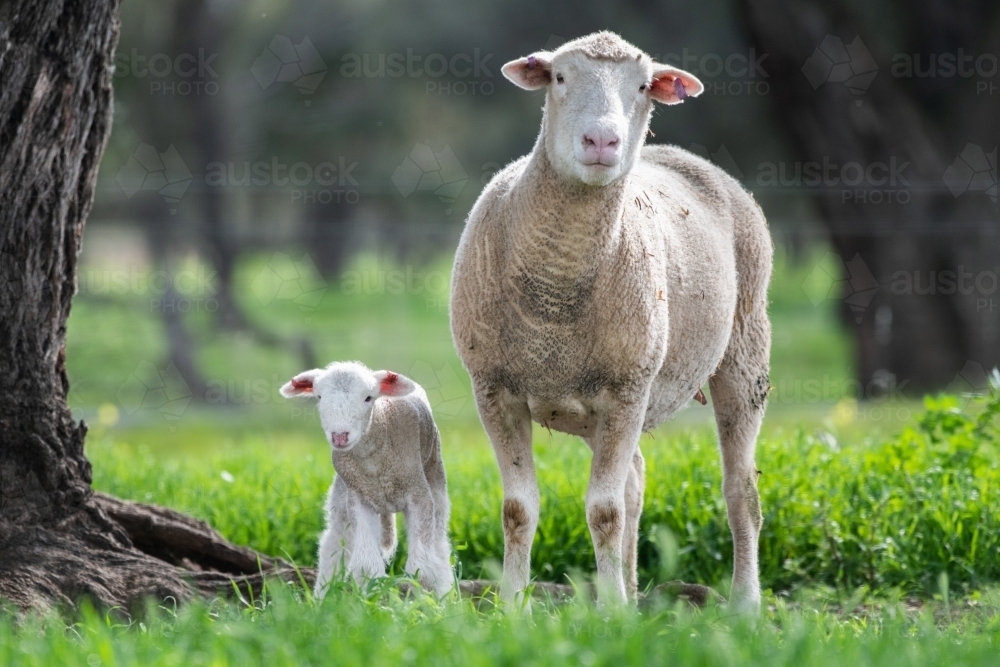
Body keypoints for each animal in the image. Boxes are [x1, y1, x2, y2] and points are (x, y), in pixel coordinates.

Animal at [282, 362, 454, 596]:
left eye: (368, 398)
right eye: (319, 397)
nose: (339, 436)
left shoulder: (419, 495)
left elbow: (423, 569)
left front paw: (424, 600)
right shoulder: (359, 499)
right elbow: (367, 565)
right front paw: (370, 599)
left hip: (434, 474)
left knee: (439, 544)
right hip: (343, 495)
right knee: (334, 544)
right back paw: (322, 596)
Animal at [452, 32, 772, 616]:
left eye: (642, 86)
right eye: (559, 77)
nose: (602, 139)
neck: (555, 295)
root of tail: (678, 155)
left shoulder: (627, 387)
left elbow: (603, 512)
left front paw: (613, 616)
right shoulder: (494, 388)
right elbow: (518, 509)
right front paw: (513, 607)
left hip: (743, 349)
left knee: (741, 490)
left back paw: (742, 605)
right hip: (595, 405)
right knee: (635, 481)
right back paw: (629, 587)